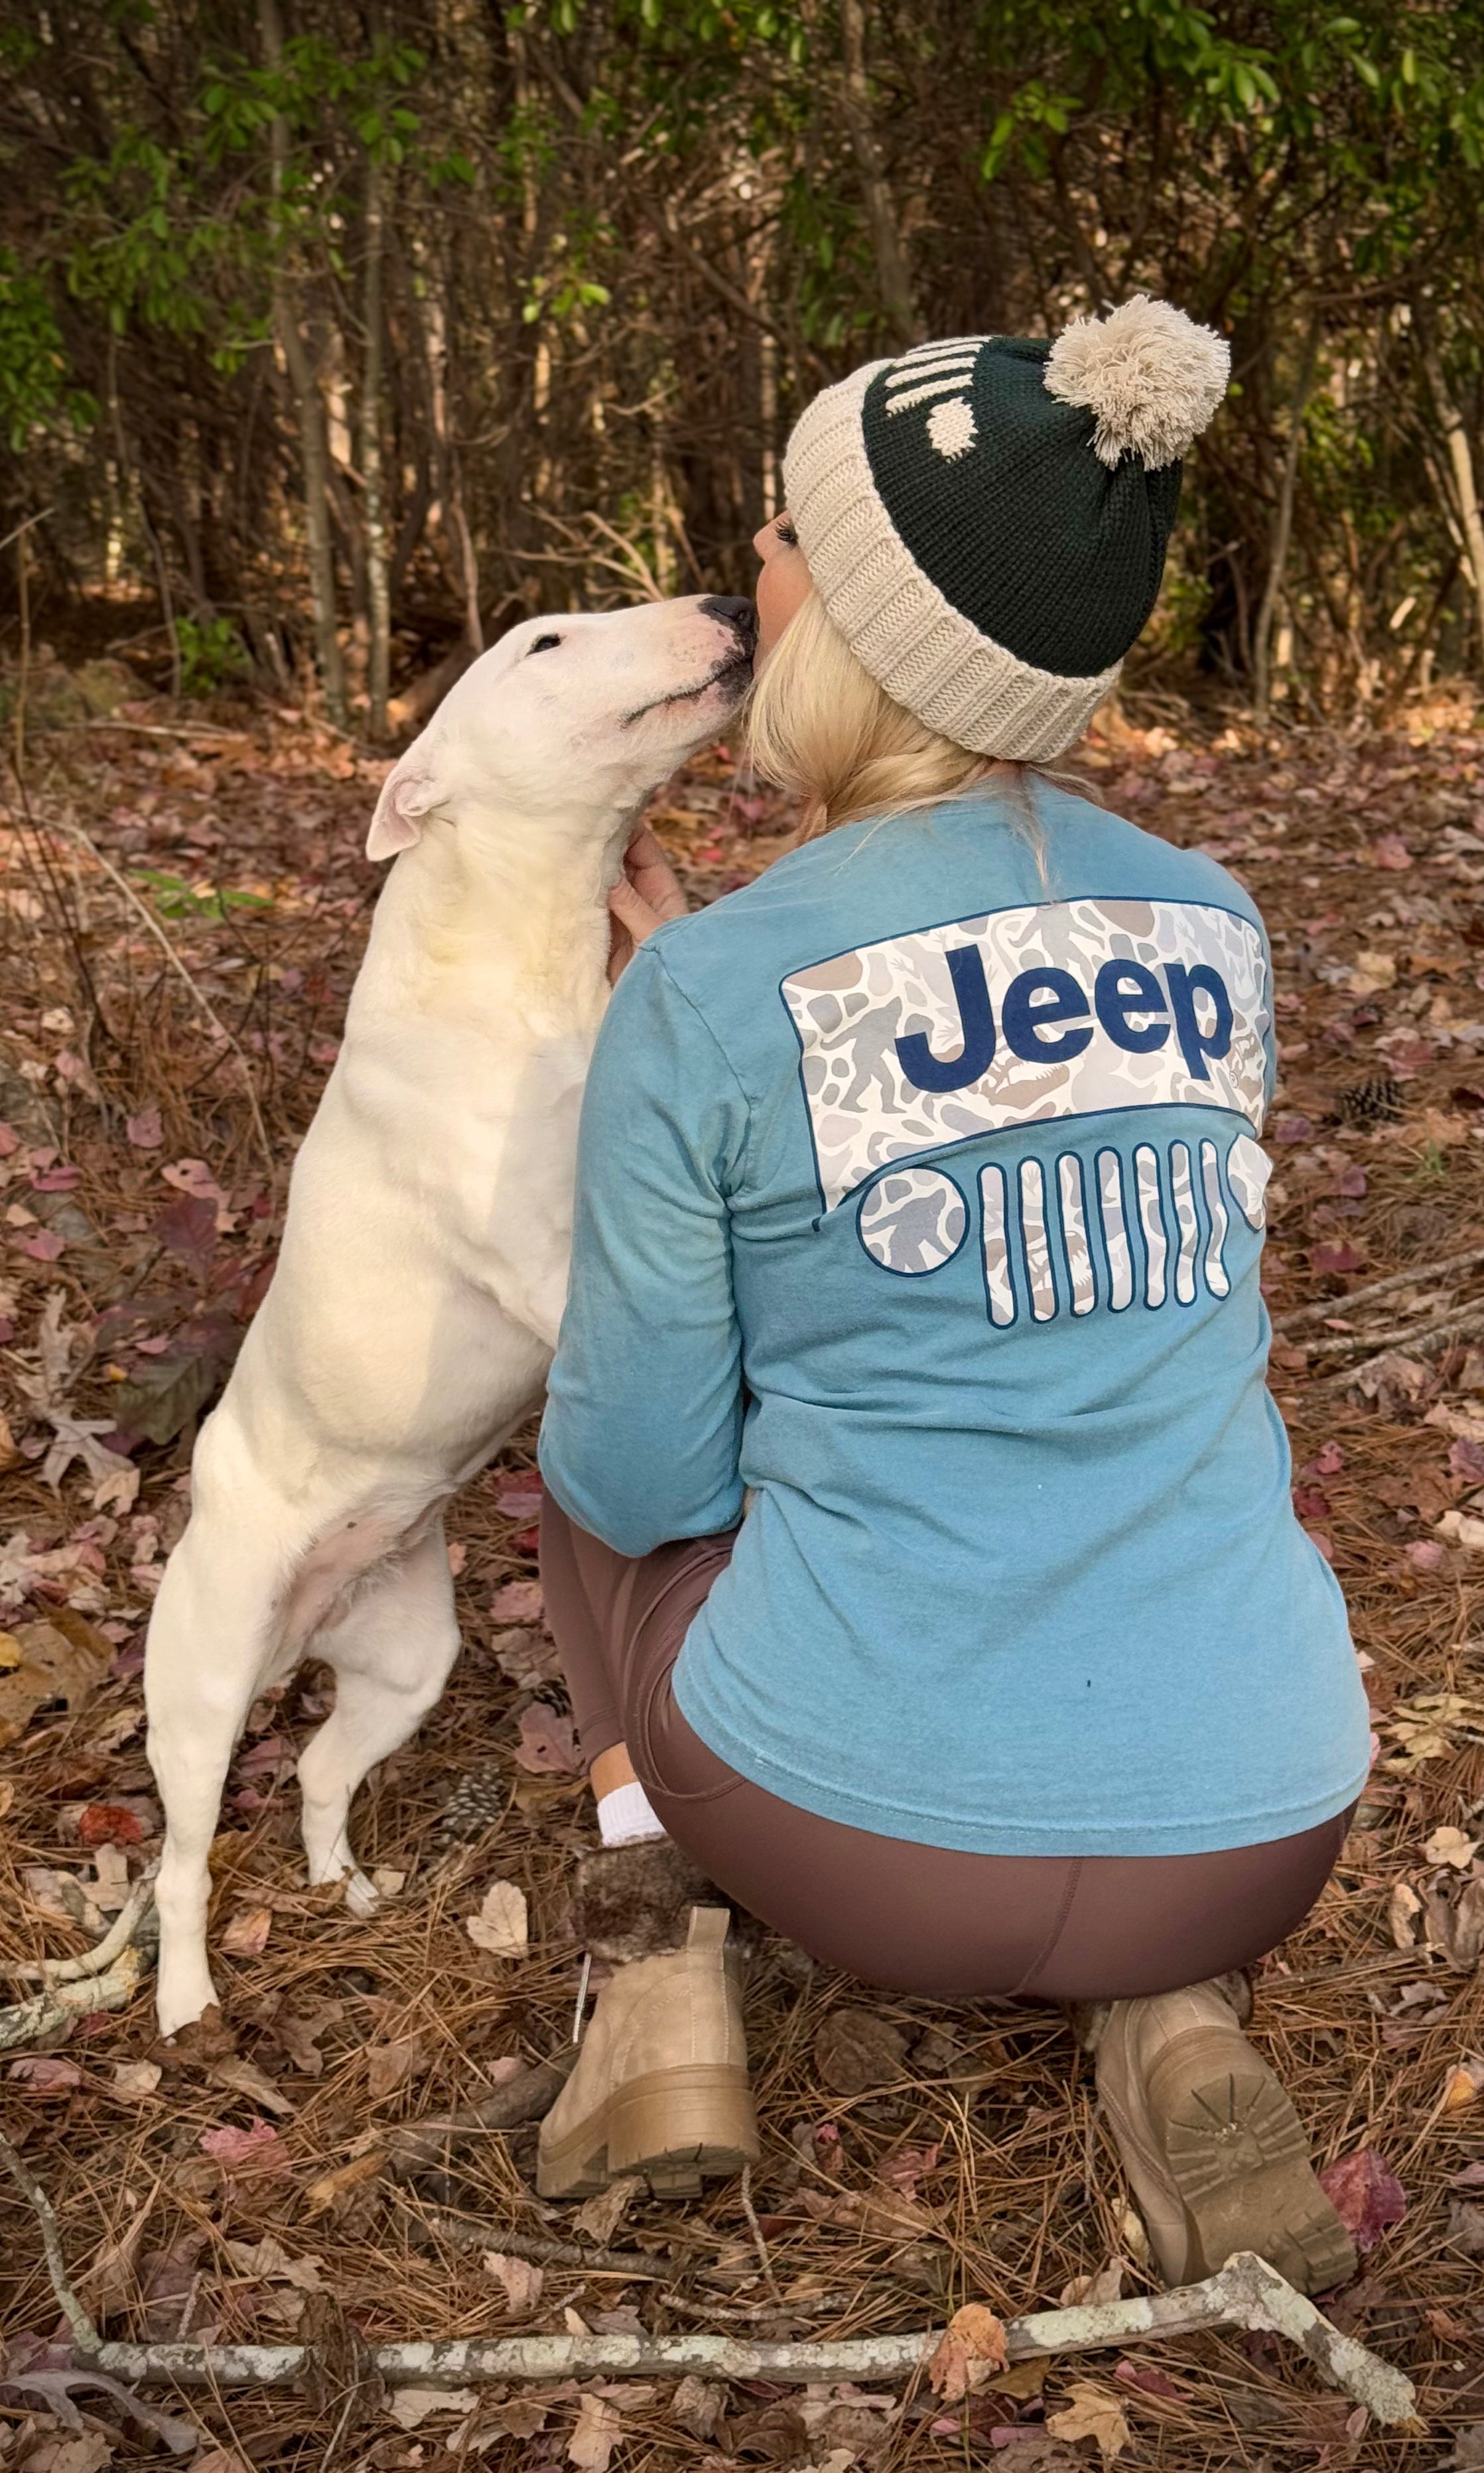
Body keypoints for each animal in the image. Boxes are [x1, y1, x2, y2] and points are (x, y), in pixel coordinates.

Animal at [145, 593, 762, 2027]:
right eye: (545, 644)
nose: (724, 602)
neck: (530, 949)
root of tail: (305, 1622)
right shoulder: (557, 1269)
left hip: (406, 1660)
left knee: (322, 1771)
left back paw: (344, 1886)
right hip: (199, 1685)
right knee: (179, 1862)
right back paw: (187, 1997)